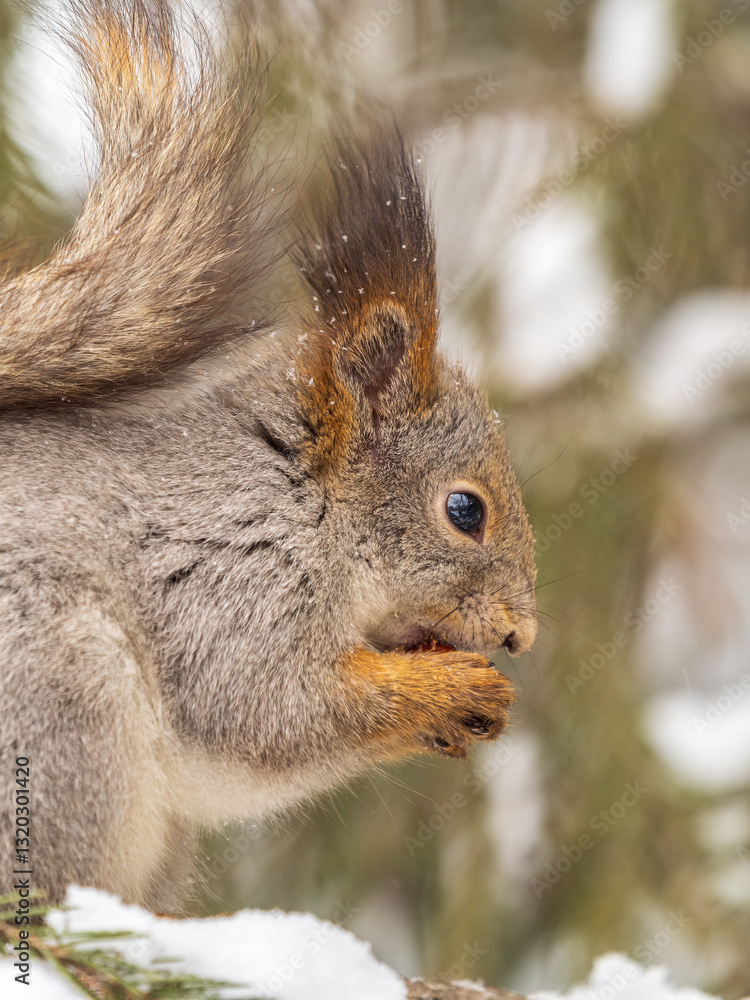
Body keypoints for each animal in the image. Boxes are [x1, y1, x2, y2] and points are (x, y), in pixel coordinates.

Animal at [0, 0, 538, 913]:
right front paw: (447, 693)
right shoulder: (231, 582)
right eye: (465, 510)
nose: (520, 634)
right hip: (67, 707)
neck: (301, 496)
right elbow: (270, 710)